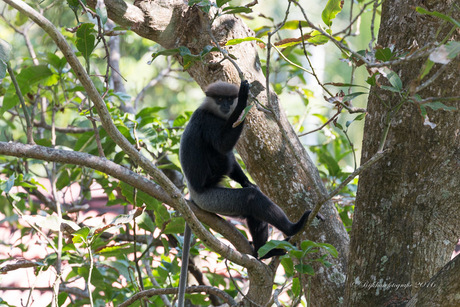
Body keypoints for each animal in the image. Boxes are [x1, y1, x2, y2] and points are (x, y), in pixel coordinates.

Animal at [180, 80, 320, 258]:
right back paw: (293, 228)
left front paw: (247, 182)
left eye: (228, 99)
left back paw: (264, 252)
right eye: (219, 99)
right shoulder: (207, 120)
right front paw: (242, 101)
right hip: (212, 200)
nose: (226, 105)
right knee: (251, 199)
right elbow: (223, 145)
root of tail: (193, 193)